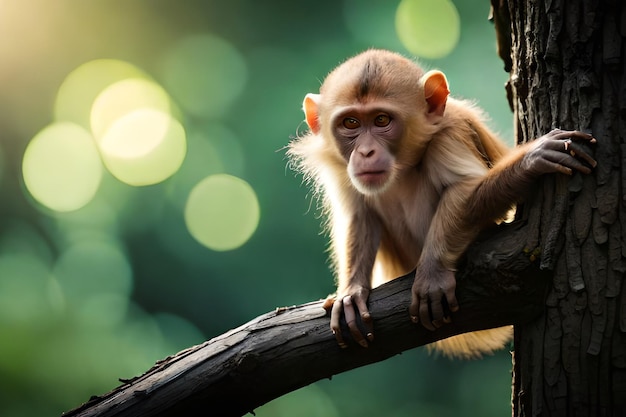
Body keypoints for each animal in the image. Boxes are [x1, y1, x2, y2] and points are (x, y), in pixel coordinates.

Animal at [286, 48, 592, 354]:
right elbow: (359, 215)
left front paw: (433, 272)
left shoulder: (449, 133)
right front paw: (351, 291)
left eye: (382, 120)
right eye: (350, 123)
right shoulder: (342, 166)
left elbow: (462, 188)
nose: (366, 152)